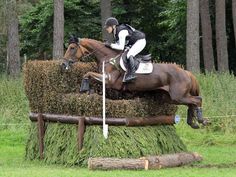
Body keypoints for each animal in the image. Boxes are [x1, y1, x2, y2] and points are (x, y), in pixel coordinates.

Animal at [62, 37, 208, 129]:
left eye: (72, 48)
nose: (63, 64)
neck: (108, 57)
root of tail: (186, 72)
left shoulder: (110, 80)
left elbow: (87, 74)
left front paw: (84, 88)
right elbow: (89, 76)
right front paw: (88, 90)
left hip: (178, 96)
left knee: (197, 100)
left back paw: (201, 120)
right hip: (170, 98)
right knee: (191, 103)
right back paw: (193, 123)